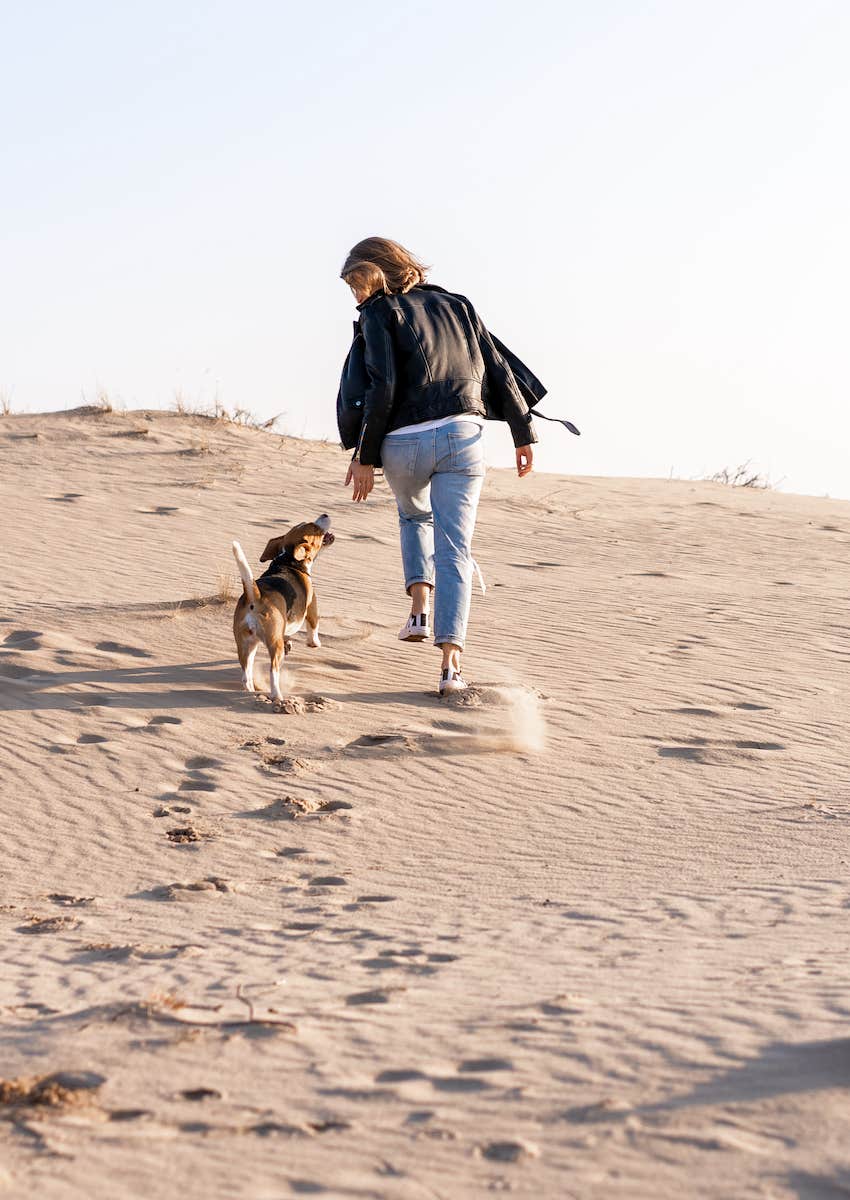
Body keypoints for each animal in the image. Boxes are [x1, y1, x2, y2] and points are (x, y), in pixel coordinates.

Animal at [234, 516, 336, 700]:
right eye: (315, 529)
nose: (325, 514)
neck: (288, 559)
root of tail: (254, 595)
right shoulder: (312, 604)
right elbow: (313, 627)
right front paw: (315, 643)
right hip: (274, 644)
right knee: (273, 671)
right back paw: (277, 696)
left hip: (246, 644)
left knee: (246, 673)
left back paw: (251, 690)